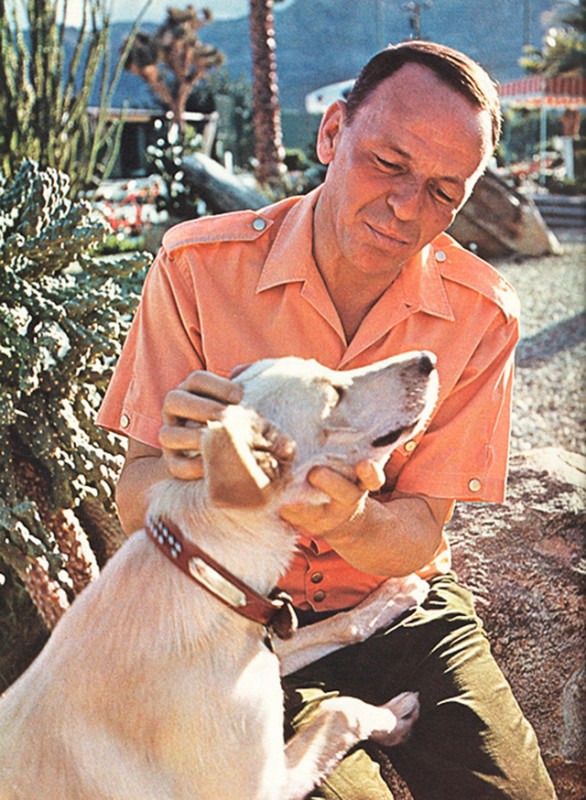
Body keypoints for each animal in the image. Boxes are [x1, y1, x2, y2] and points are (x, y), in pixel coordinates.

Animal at [0, 352, 436, 800]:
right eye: (334, 393)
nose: (428, 359)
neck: (202, 572)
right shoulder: (263, 784)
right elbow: (340, 709)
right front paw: (392, 717)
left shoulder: (263, 656)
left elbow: (336, 626)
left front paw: (393, 595)